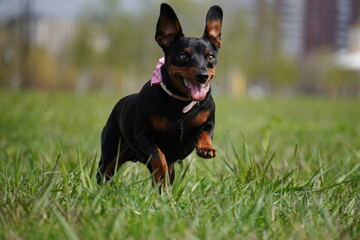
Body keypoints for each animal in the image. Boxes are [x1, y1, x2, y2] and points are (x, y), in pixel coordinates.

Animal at [97, 2, 222, 186]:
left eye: (211, 57)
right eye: (182, 56)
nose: (202, 75)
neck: (181, 102)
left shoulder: (207, 122)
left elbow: (205, 132)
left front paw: (206, 148)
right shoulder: (143, 134)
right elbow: (158, 156)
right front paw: (160, 167)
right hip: (110, 153)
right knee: (104, 174)